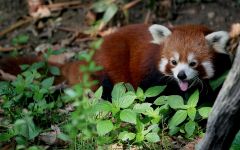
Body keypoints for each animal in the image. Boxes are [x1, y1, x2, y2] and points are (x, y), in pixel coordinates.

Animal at [0, 23, 232, 96]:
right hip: (108, 64)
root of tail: (88, 56)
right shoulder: (150, 73)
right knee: (106, 87)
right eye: (173, 62)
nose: (181, 75)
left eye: (193, 63)